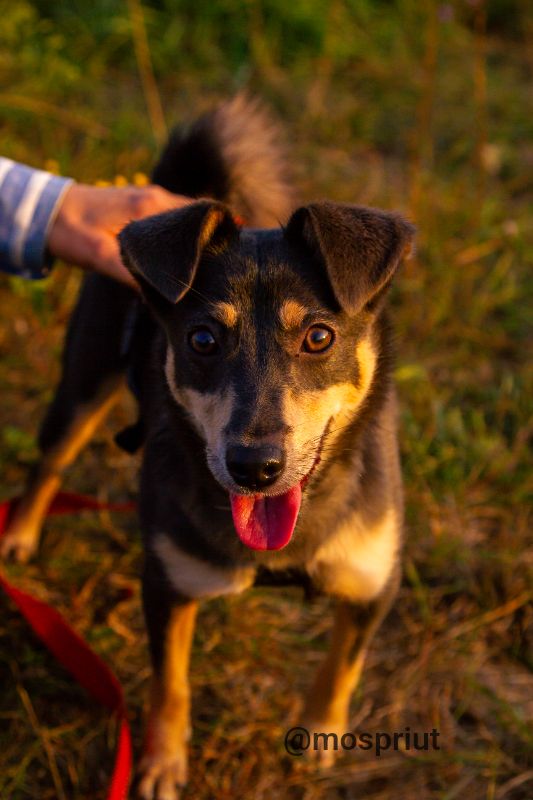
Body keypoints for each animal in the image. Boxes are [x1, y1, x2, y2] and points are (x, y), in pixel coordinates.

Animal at [1, 97, 416, 796]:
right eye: (201, 340)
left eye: (320, 336)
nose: (255, 467)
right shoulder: (168, 582)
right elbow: (169, 684)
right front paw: (161, 764)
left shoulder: (371, 583)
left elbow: (343, 666)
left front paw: (321, 734)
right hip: (82, 384)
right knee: (51, 461)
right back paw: (19, 535)